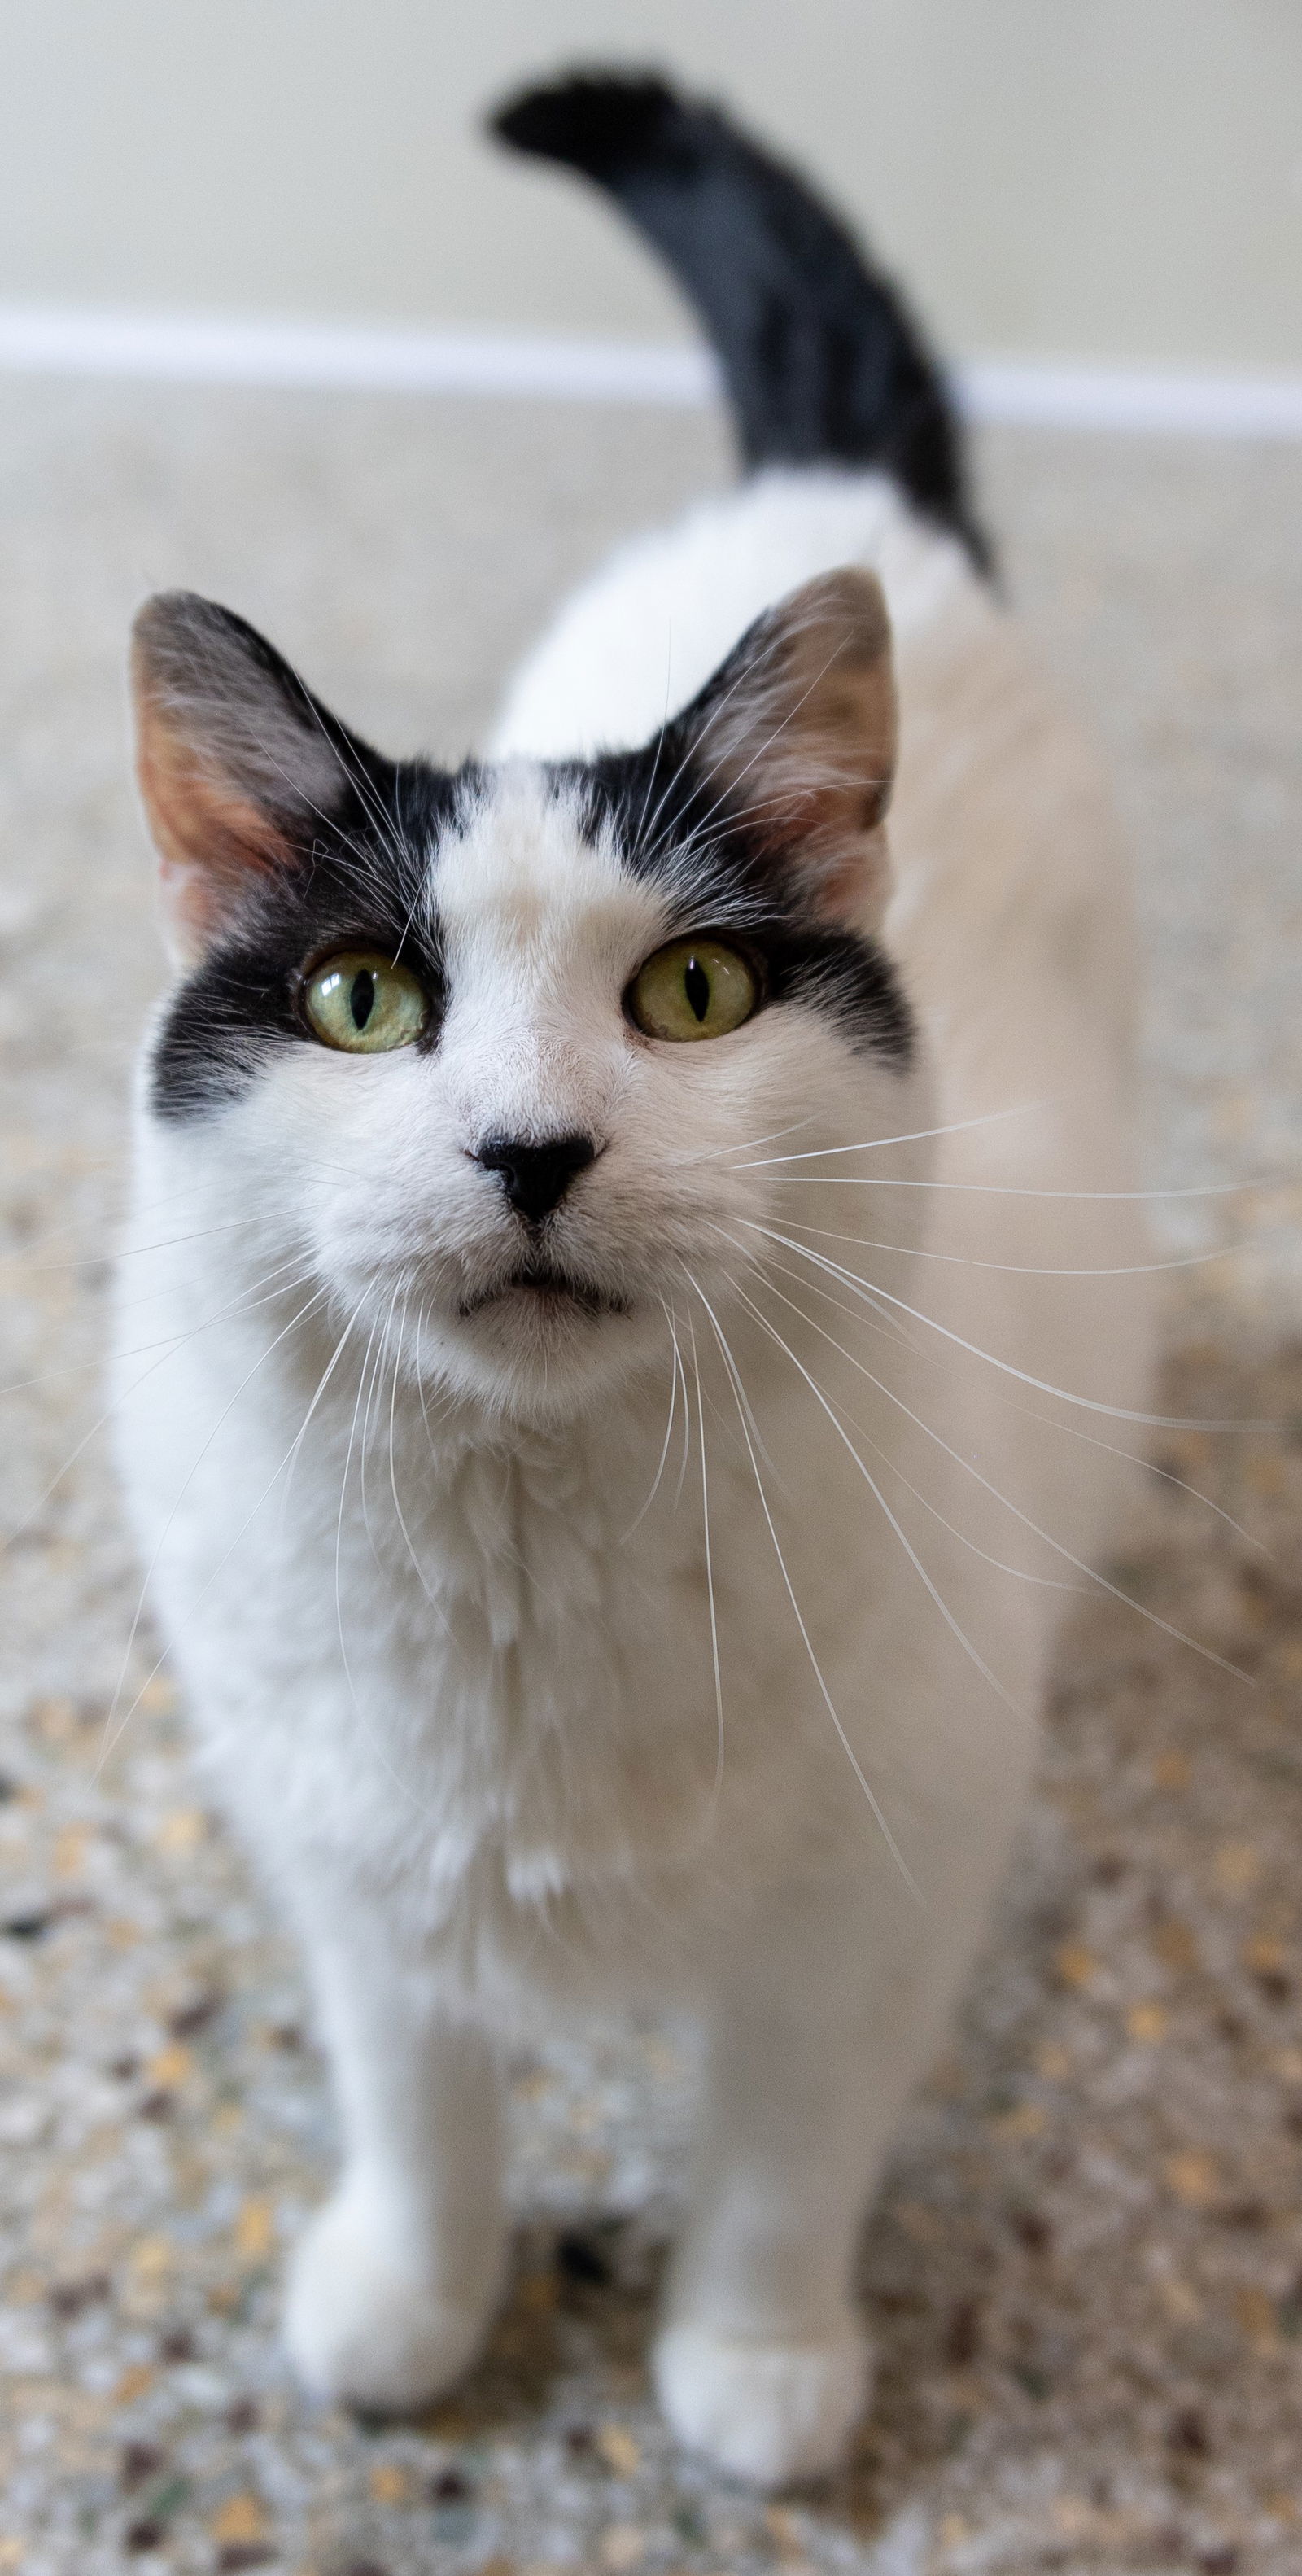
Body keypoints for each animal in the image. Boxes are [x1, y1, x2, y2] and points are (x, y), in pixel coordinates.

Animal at [109, 70, 1147, 2483]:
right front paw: (412, 2301)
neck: (530, 1549)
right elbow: (417, 2103)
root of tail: (827, 496)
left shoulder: (888, 1895)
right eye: (363, 1001)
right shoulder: (357, 1881)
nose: (532, 1148)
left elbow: (783, 2149)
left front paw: (753, 2366)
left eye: (690, 994)